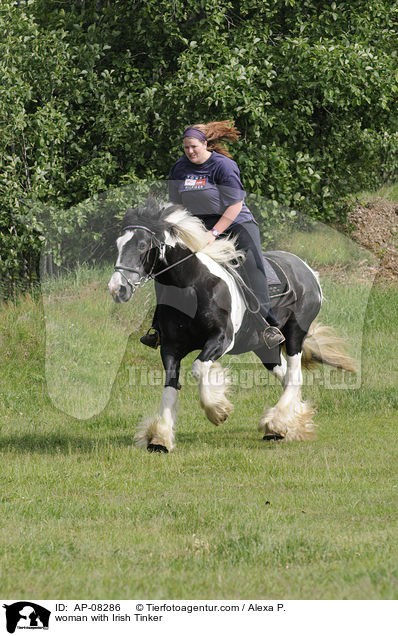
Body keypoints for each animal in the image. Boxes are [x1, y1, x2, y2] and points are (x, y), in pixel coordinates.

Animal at [107, 199, 356, 452]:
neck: (191, 285)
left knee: (295, 376)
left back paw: (276, 423)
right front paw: (160, 438)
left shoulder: (221, 339)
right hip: (264, 347)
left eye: (141, 245)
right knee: (286, 376)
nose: (117, 289)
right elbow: (170, 385)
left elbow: (199, 368)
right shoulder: (170, 346)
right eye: (118, 244)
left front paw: (217, 410)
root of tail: (308, 270)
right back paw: (286, 425)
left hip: (296, 332)